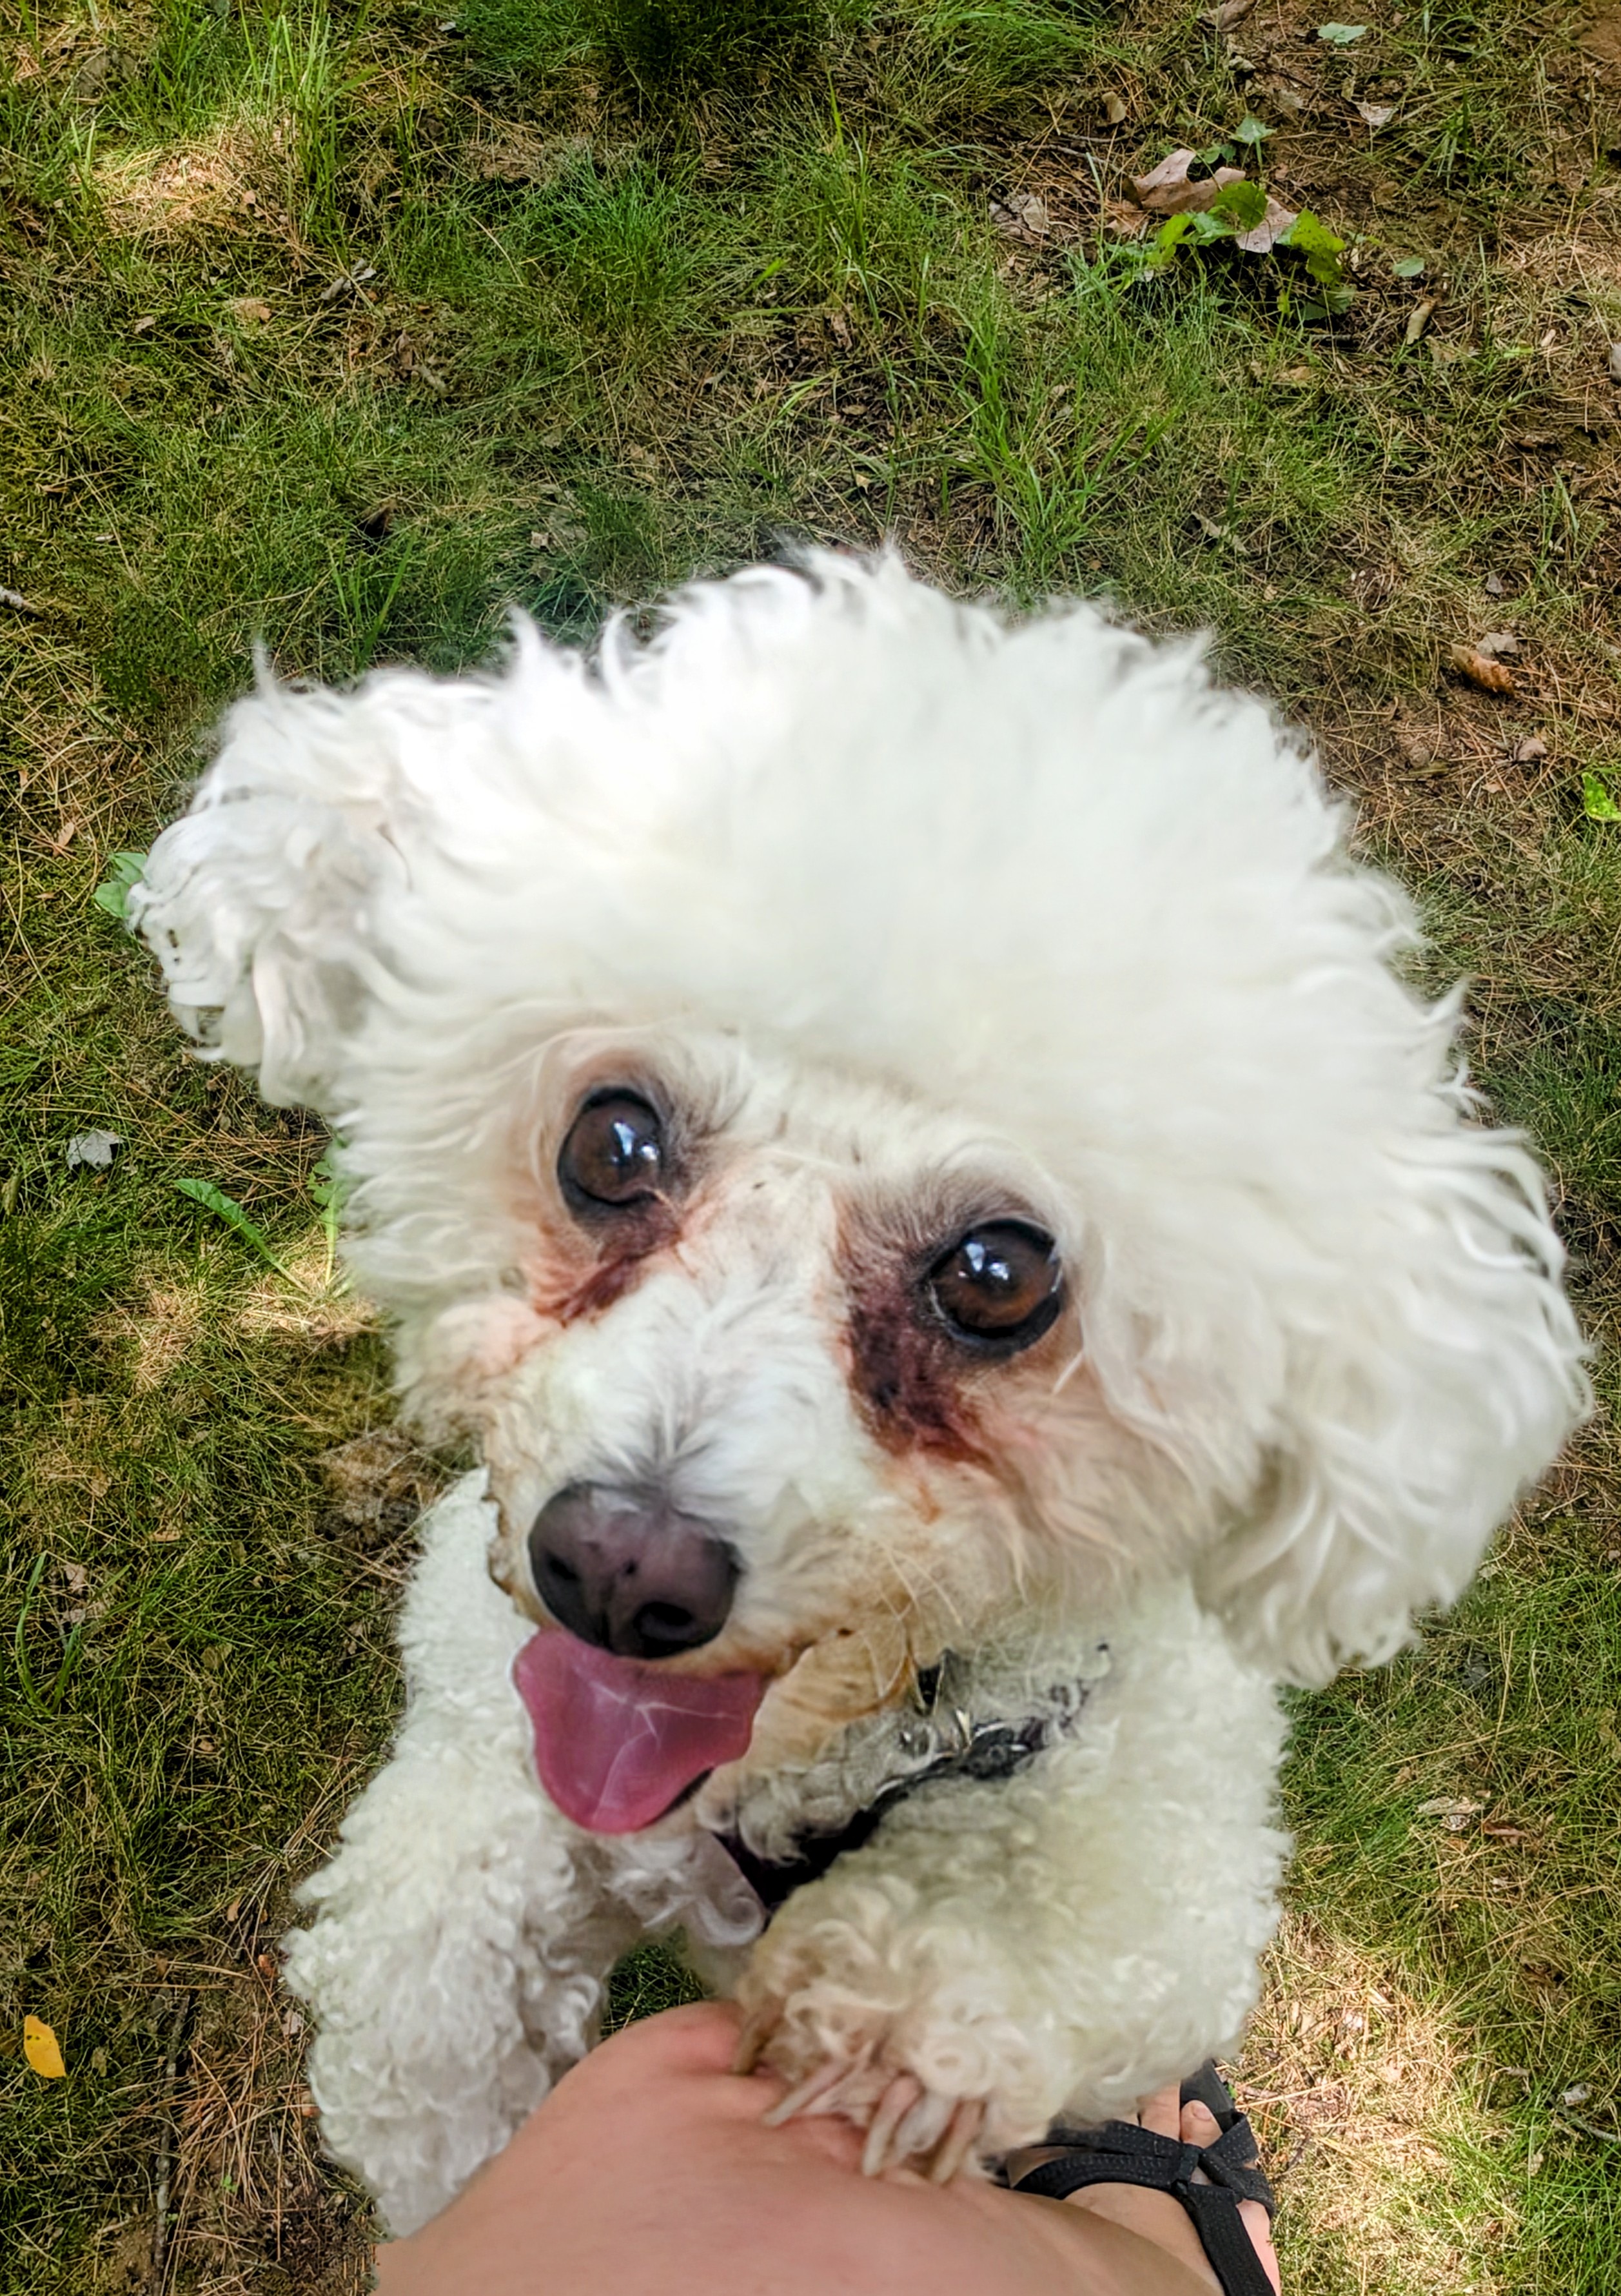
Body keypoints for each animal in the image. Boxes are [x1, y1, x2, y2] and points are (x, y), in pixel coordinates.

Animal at [132, 553, 1584, 2235]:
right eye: (610, 1141)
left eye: (999, 1274)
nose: (620, 1572)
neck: (785, 1776)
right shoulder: (480, 1729)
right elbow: (426, 1984)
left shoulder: (1166, 1820)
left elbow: (1066, 1924)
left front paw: (906, 2020)